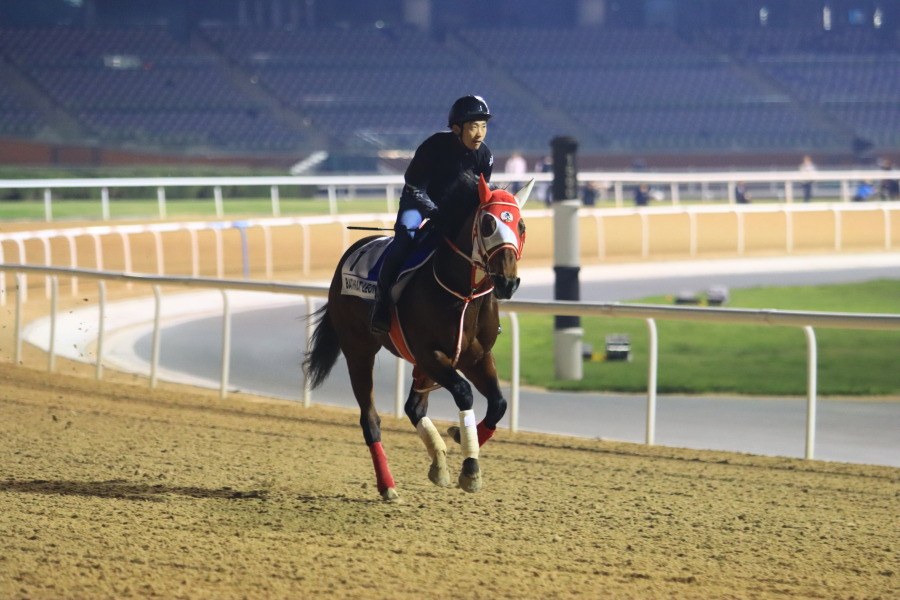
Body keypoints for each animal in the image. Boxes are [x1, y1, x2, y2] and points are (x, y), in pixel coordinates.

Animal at [306, 173, 532, 502]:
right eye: (488, 224)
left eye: (521, 225)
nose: (507, 282)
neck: (464, 293)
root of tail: (352, 252)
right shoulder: (430, 353)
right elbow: (464, 392)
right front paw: (469, 468)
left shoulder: (476, 355)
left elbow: (499, 404)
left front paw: (459, 438)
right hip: (359, 351)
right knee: (370, 419)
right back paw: (387, 485)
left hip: (419, 366)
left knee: (413, 408)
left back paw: (438, 462)